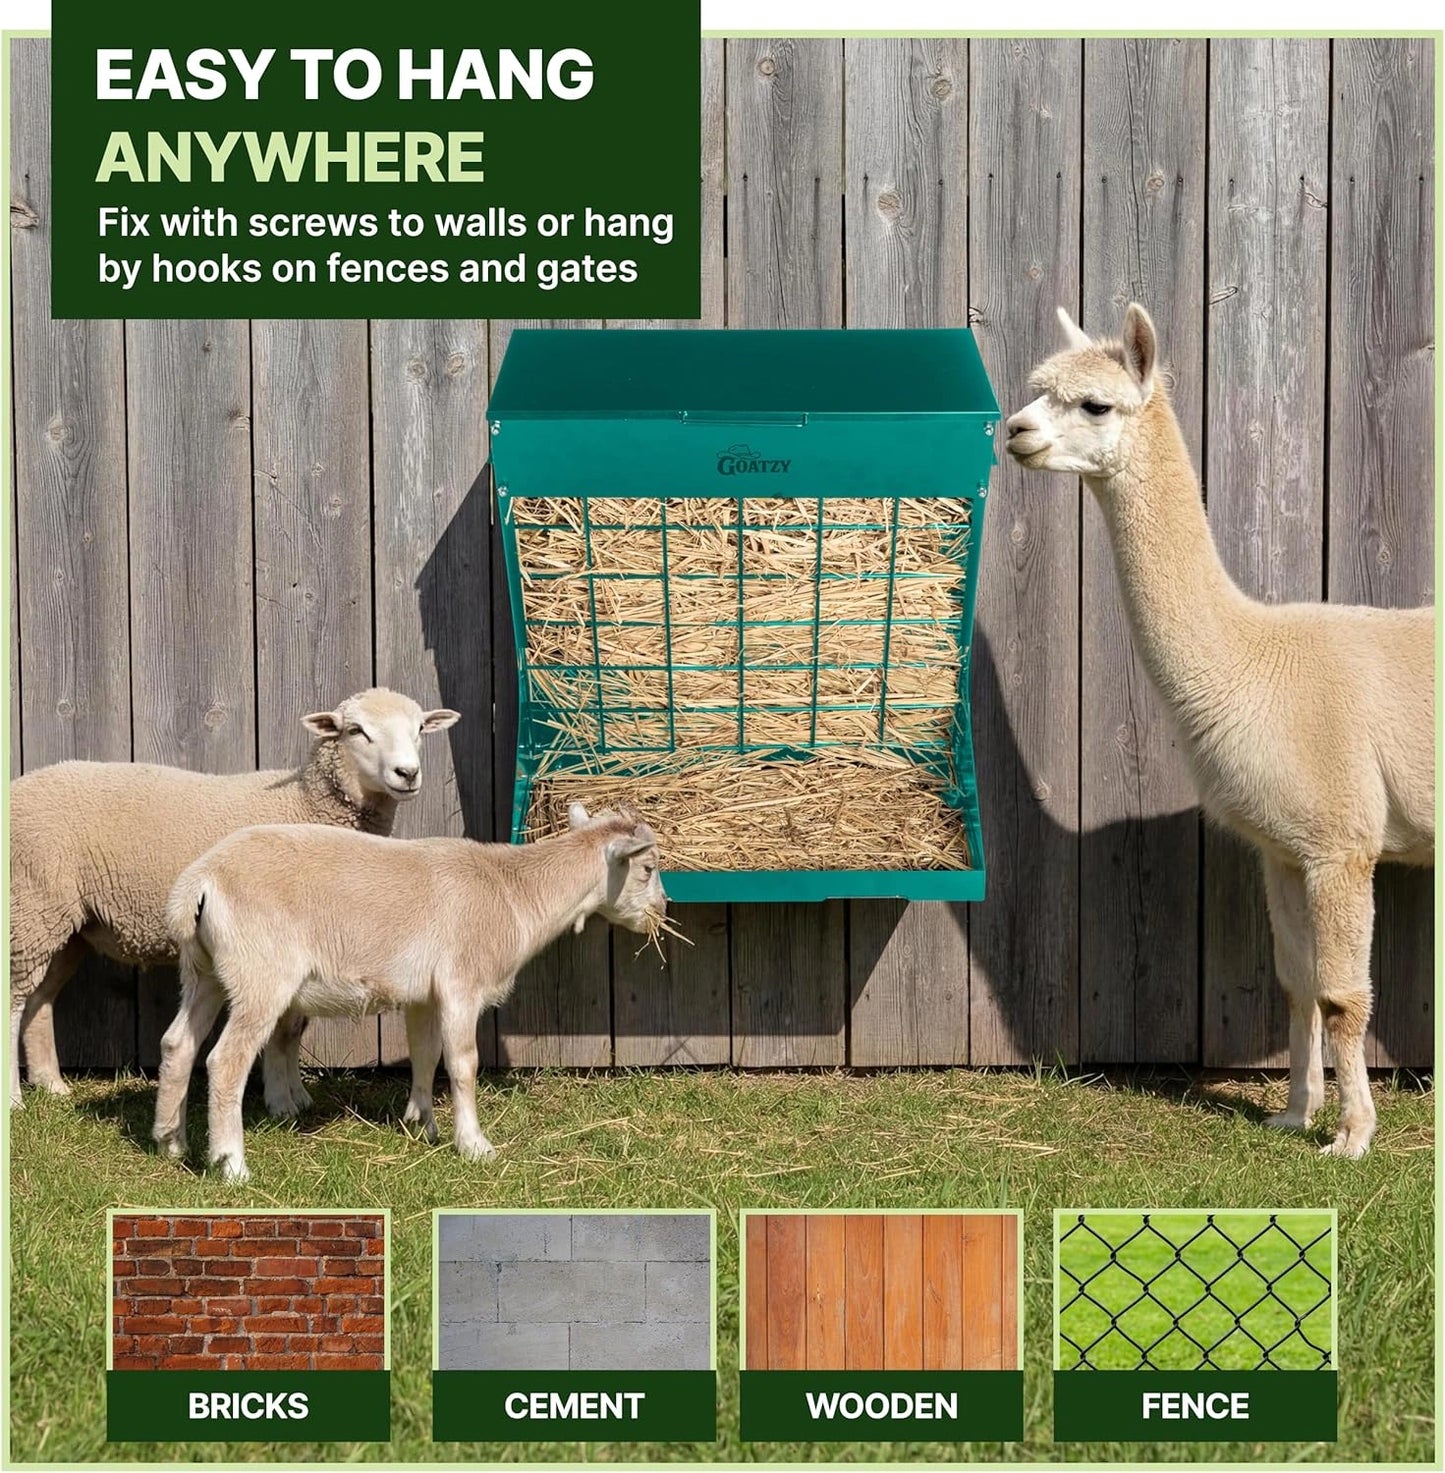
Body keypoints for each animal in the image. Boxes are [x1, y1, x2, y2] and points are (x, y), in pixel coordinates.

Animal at [9, 688, 460, 1109]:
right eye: (355, 731)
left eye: (420, 729)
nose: (407, 773)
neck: (304, 802)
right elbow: (281, 1029)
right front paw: (281, 1102)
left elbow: (292, 1027)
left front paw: (296, 1097)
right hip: (29, 908)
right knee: (13, 1002)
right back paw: (14, 1098)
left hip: (62, 925)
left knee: (38, 1002)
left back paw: (52, 1086)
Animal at [152, 802, 663, 1180]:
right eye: (647, 867)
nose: (661, 909)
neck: (514, 893)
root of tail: (199, 882)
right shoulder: (461, 983)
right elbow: (462, 1063)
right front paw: (474, 1144)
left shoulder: (425, 994)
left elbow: (425, 1054)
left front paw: (422, 1124)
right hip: (260, 973)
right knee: (226, 1060)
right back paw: (231, 1165)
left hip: (204, 971)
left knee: (177, 1044)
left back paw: (170, 1141)